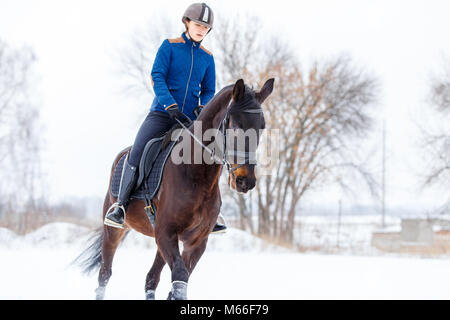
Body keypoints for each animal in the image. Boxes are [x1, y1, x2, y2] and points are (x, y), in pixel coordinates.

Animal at [75, 78, 274, 300]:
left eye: (262, 128)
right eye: (236, 126)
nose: (245, 181)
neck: (196, 175)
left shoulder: (196, 241)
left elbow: (178, 281)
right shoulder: (165, 233)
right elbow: (180, 278)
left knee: (151, 278)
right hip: (114, 230)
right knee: (104, 274)